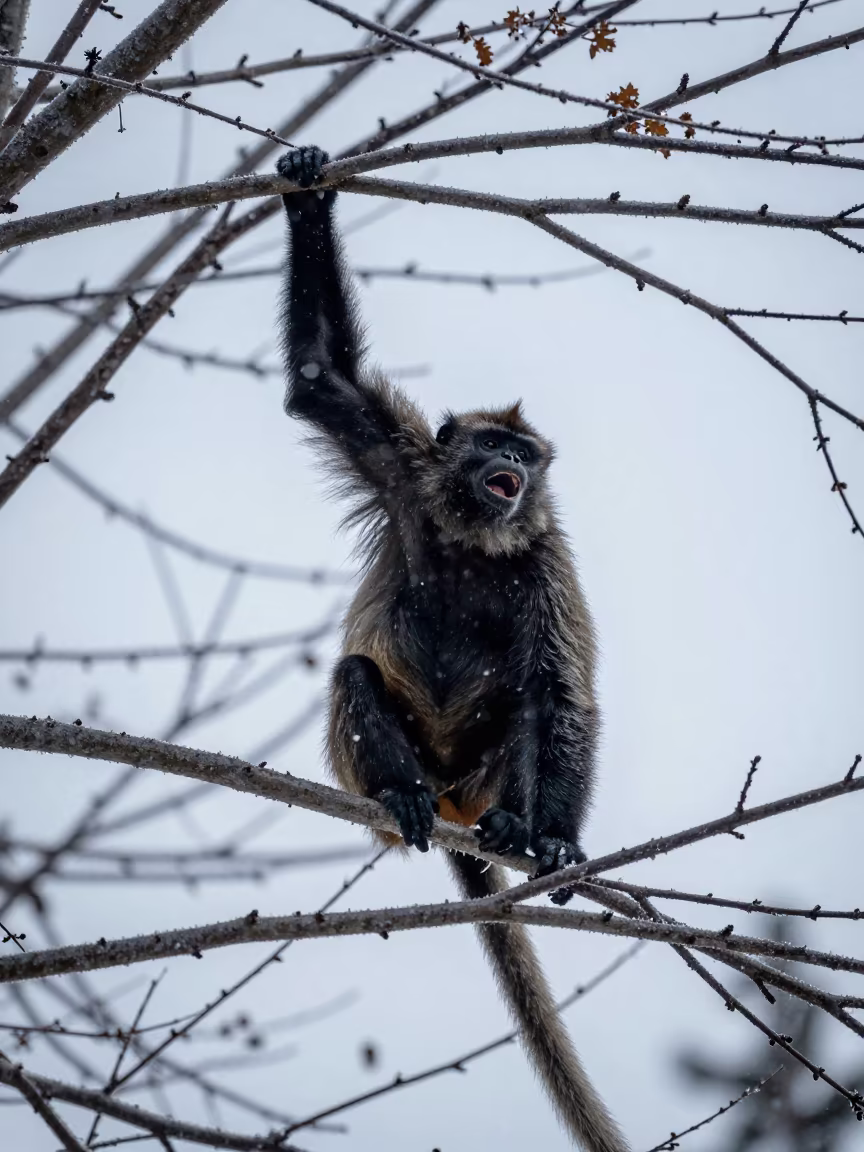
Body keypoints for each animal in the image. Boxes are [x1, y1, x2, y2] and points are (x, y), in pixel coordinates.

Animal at [277, 145, 629, 1152]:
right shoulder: (404, 470)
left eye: (526, 455)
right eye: (490, 447)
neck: (478, 537)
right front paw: (307, 189)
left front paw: (558, 839)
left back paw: (510, 827)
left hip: (474, 778)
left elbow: (561, 694)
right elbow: (322, 379)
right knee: (358, 673)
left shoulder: (545, 558)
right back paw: (401, 792)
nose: (511, 465)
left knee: (521, 704)